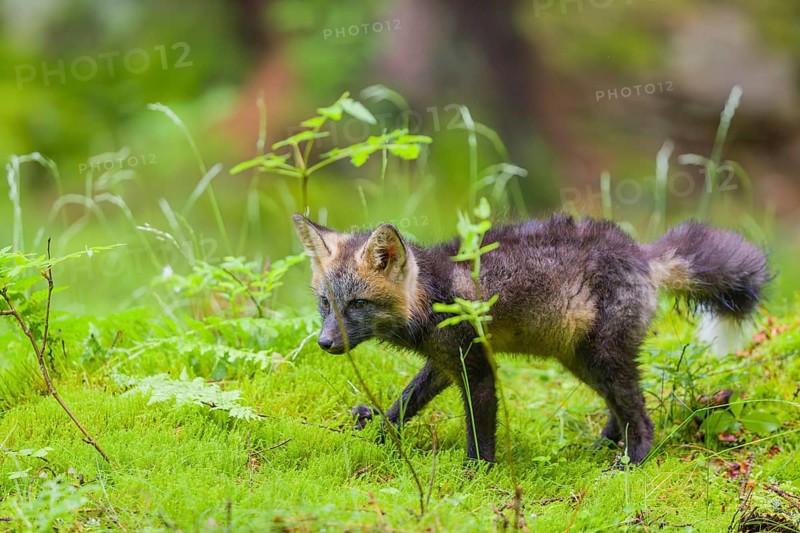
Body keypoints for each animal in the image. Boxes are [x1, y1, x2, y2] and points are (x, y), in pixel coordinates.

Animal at [292, 213, 769, 464]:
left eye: (357, 304)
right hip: (583, 361)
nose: (325, 344)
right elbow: (405, 402)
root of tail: (641, 254)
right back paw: (602, 445)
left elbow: (480, 433)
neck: (433, 297)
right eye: (324, 303)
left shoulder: (478, 368)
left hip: (602, 358)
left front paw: (475, 476)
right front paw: (379, 432)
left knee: (642, 416)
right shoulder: (446, 363)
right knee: (621, 409)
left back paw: (631, 462)